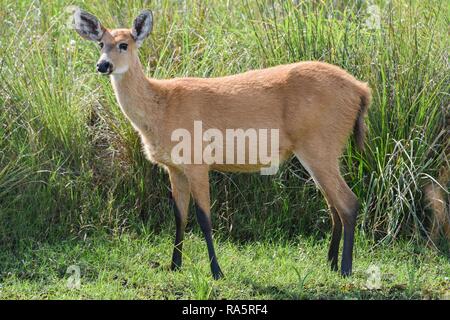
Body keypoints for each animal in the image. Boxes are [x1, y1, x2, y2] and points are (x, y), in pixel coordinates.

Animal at [73, 7, 370, 278]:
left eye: (124, 44)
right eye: (101, 43)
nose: (103, 65)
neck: (161, 108)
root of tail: (361, 89)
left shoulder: (197, 161)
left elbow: (204, 217)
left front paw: (216, 271)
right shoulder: (174, 167)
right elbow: (179, 215)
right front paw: (174, 266)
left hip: (321, 144)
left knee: (348, 202)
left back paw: (345, 268)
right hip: (317, 151)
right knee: (333, 204)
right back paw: (330, 263)